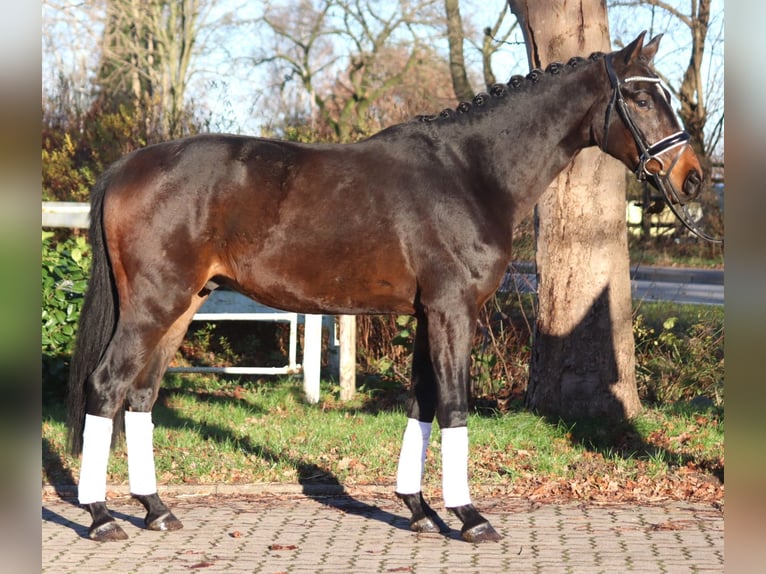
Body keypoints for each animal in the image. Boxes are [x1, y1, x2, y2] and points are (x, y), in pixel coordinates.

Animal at [69, 31, 704, 544]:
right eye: (641, 98)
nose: (692, 177)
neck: (470, 171)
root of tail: (125, 167)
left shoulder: (427, 314)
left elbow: (421, 400)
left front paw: (419, 510)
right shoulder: (452, 311)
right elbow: (452, 405)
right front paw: (470, 517)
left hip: (181, 307)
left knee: (141, 395)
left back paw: (155, 510)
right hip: (153, 306)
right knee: (106, 385)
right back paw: (99, 517)